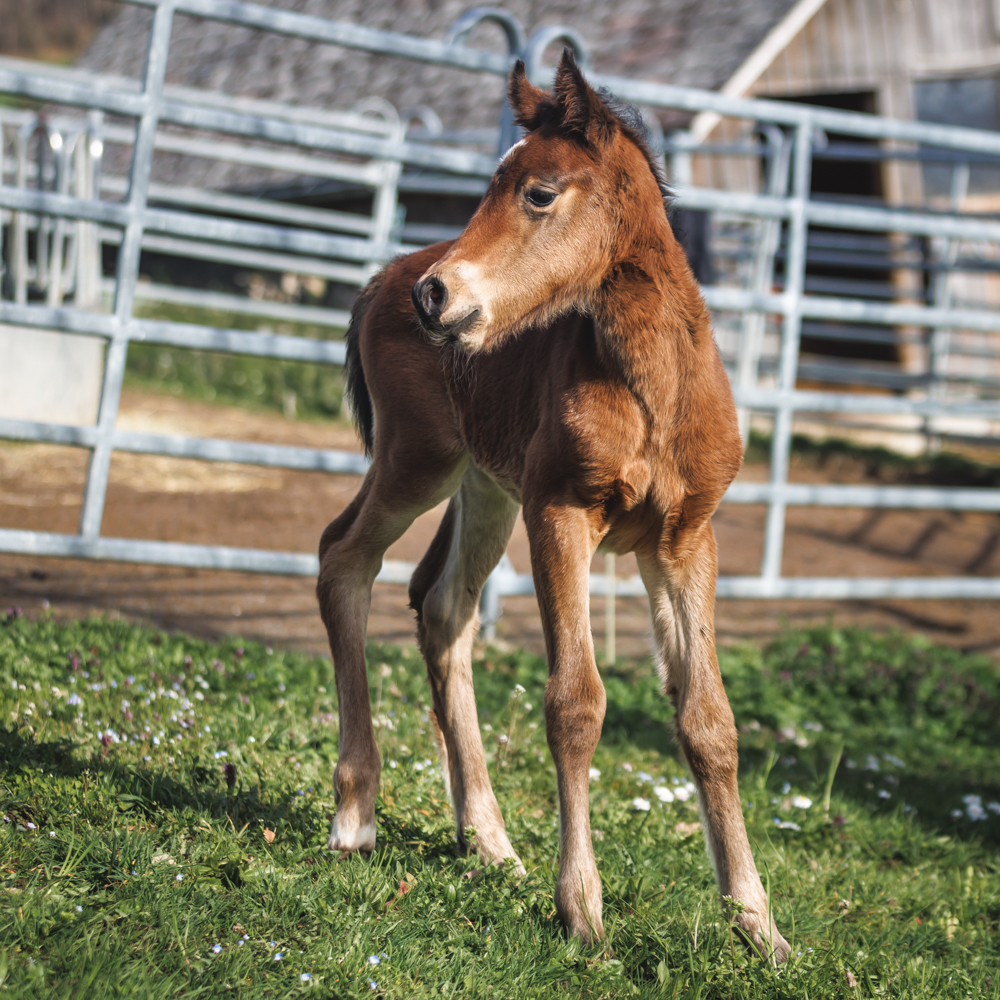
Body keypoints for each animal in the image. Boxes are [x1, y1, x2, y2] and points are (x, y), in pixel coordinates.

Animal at [316, 52, 792, 960]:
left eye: (538, 193)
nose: (437, 296)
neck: (652, 388)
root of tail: (385, 274)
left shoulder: (685, 538)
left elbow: (709, 721)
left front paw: (759, 924)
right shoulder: (561, 514)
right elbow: (576, 701)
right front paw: (582, 908)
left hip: (483, 486)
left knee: (442, 607)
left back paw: (489, 841)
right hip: (418, 460)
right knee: (342, 559)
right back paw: (356, 812)